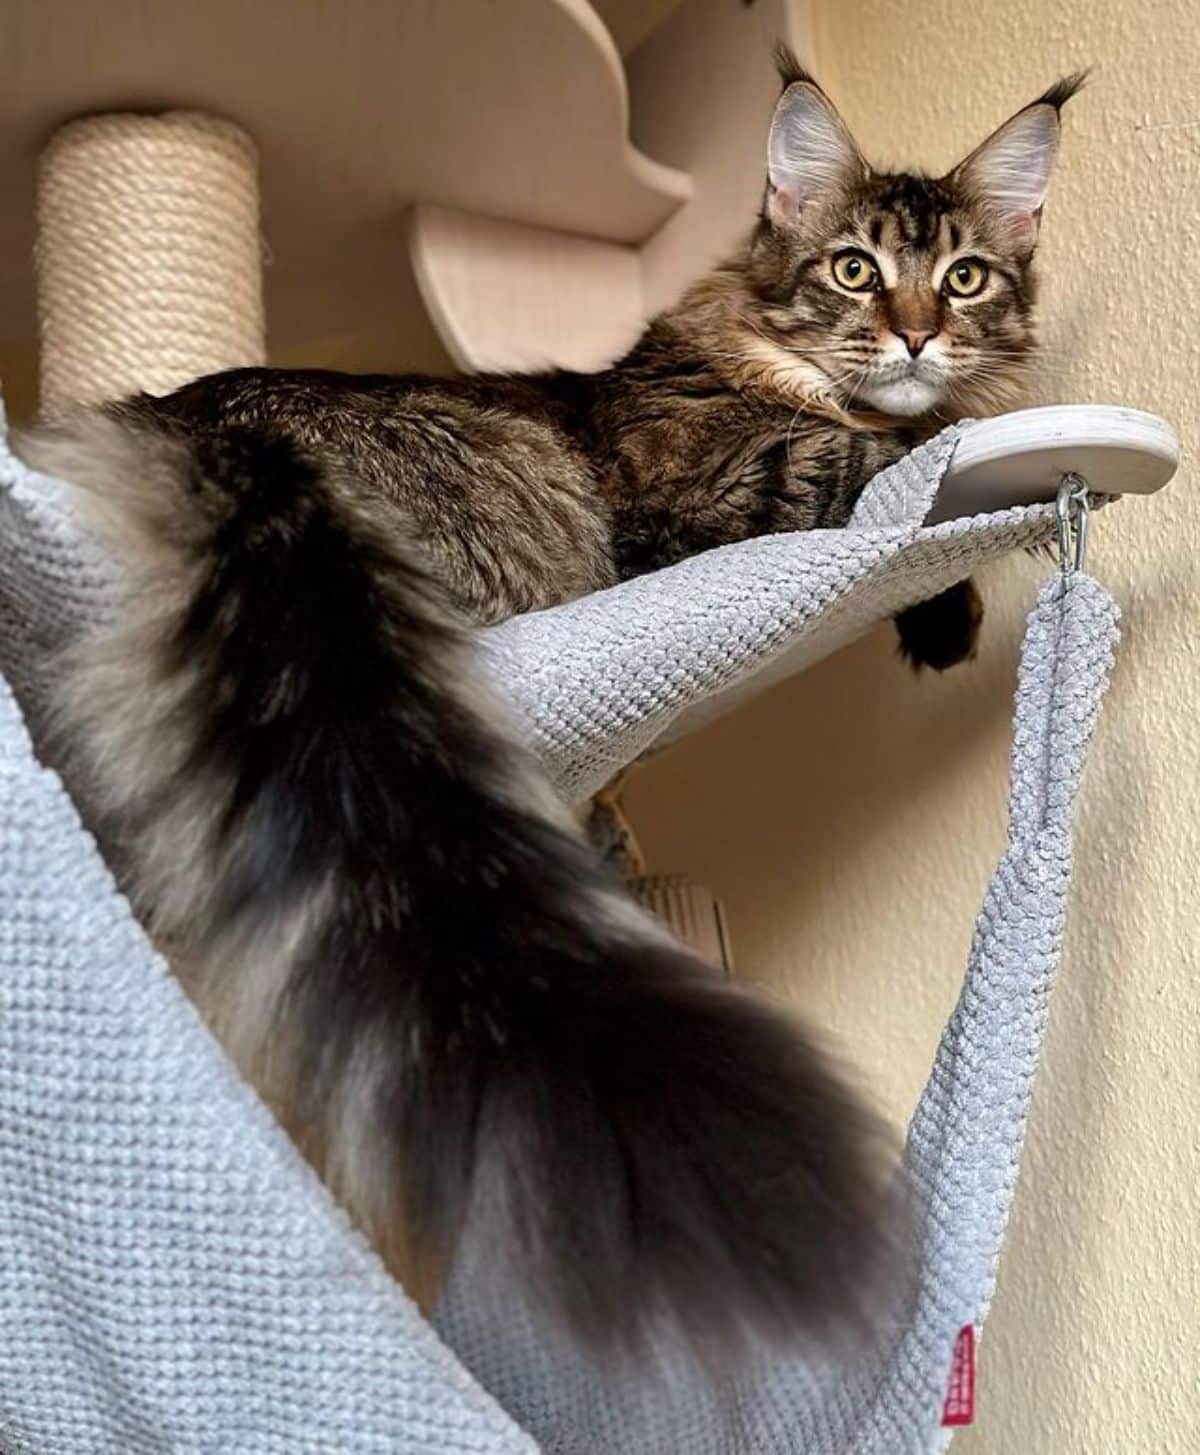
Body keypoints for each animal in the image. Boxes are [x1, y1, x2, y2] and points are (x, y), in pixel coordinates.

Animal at [18, 48, 1082, 1361]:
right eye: (855, 269)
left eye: (965, 276)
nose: (921, 334)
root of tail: (205, 418)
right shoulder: (701, 495)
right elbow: (882, 452)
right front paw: (953, 518)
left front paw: (943, 608)